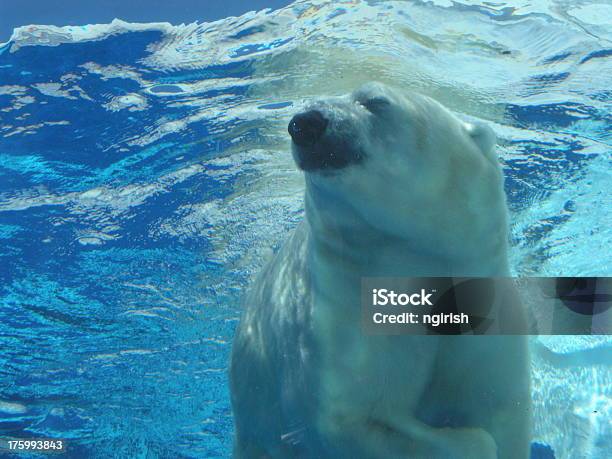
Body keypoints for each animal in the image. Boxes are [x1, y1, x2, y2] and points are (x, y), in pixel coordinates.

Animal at [230, 82, 532, 459]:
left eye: (375, 100)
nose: (305, 123)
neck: (407, 254)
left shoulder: (485, 311)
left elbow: (499, 408)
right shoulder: (340, 325)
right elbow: (352, 422)